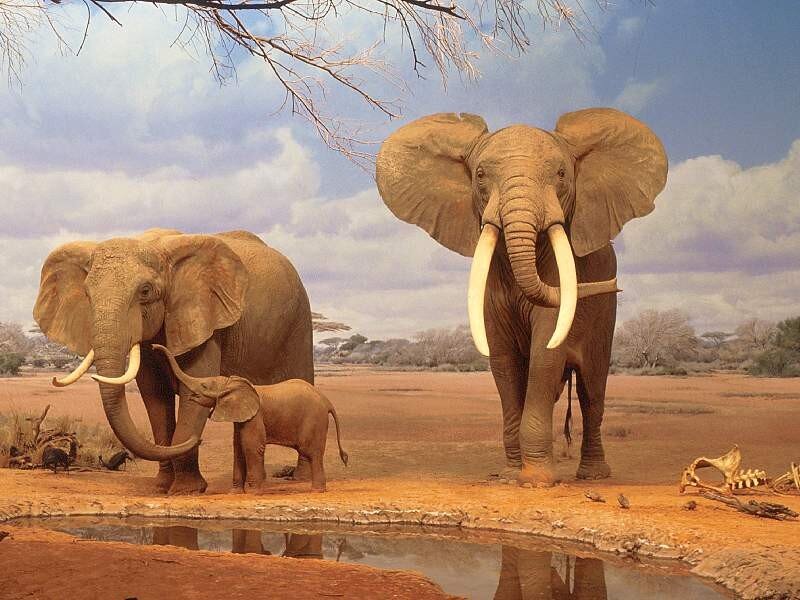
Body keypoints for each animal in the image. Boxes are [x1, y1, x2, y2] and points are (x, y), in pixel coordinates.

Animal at [33, 228, 314, 495]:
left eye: (145, 291)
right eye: (87, 295)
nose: (198, 440)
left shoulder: (204, 321)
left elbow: (193, 389)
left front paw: (185, 491)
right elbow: (155, 397)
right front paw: (161, 488)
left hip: (299, 321)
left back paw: (301, 479)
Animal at [155, 344, 349, 493]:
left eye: (204, 386)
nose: (154, 347)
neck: (231, 383)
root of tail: (327, 401)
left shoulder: (255, 417)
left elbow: (251, 446)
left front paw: (254, 492)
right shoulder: (241, 418)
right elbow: (238, 447)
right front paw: (235, 493)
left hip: (314, 420)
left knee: (312, 452)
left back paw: (317, 490)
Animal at [376, 108, 667, 486]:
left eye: (561, 174)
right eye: (480, 175)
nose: (614, 284)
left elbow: (546, 353)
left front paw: (536, 481)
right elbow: (503, 361)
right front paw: (509, 476)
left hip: (606, 316)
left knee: (592, 392)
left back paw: (592, 476)